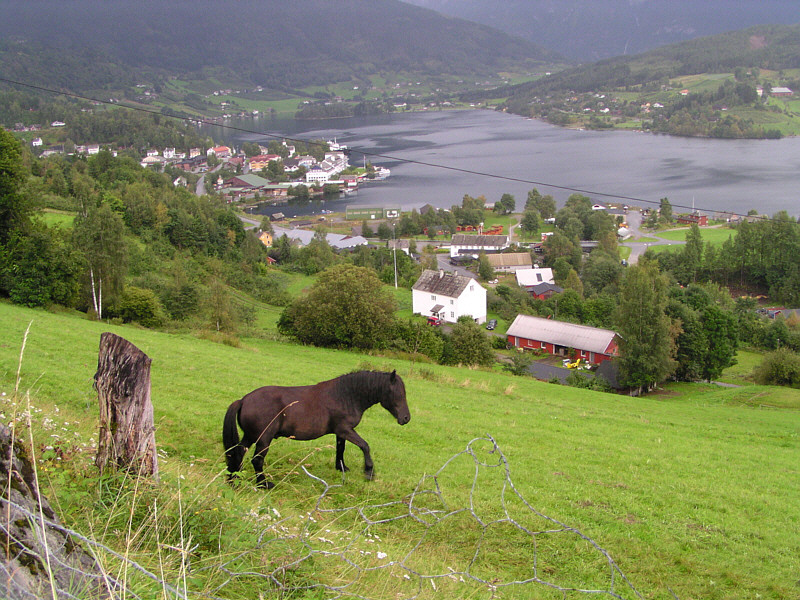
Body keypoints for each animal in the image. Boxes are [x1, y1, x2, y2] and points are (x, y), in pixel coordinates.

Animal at [225, 370, 412, 488]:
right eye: (398, 394)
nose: (406, 418)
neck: (345, 395)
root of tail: (244, 400)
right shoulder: (345, 430)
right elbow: (365, 446)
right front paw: (369, 471)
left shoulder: (341, 433)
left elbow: (340, 449)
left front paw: (341, 467)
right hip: (264, 438)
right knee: (257, 460)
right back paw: (264, 484)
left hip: (251, 436)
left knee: (238, 452)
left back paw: (235, 478)